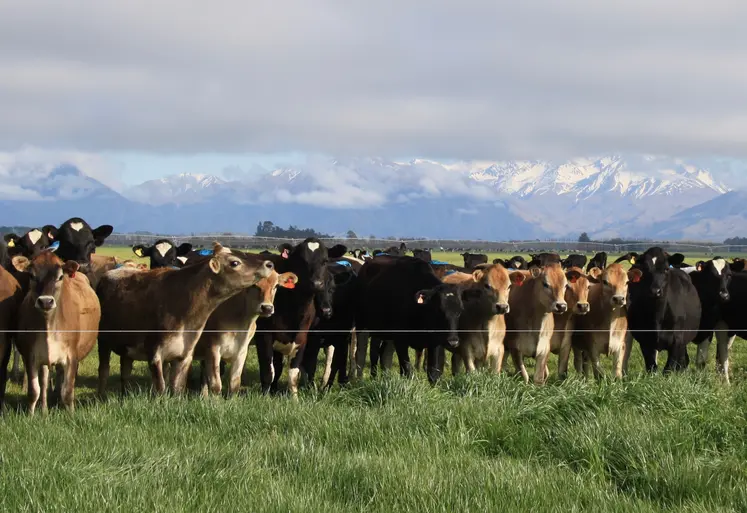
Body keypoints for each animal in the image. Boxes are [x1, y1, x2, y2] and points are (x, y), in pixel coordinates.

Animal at [12, 251, 101, 414]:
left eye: (60, 277)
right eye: (31, 275)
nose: (46, 301)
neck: (49, 324)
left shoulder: (71, 357)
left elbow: (68, 391)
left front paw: (71, 414)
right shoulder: (30, 356)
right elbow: (34, 391)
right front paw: (31, 415)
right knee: (45, 380)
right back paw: (45, 409)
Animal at [96, 243, 274, 397]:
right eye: (234, 262)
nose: (269, 264)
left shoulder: (184, 356)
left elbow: (178, 388)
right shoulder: (155, 354)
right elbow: (160, 388)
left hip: (126, 346)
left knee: (125, 371)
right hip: (103, 341)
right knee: (103, 370)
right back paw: (101, 397)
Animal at [254, 239, 348, 397]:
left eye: (325, 260)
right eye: (302, 261)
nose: (316, 283)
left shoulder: (303, 338)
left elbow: (294, 372)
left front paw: (295, 398)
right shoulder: (264, 336)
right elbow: (268, 371)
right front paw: (265, 396)